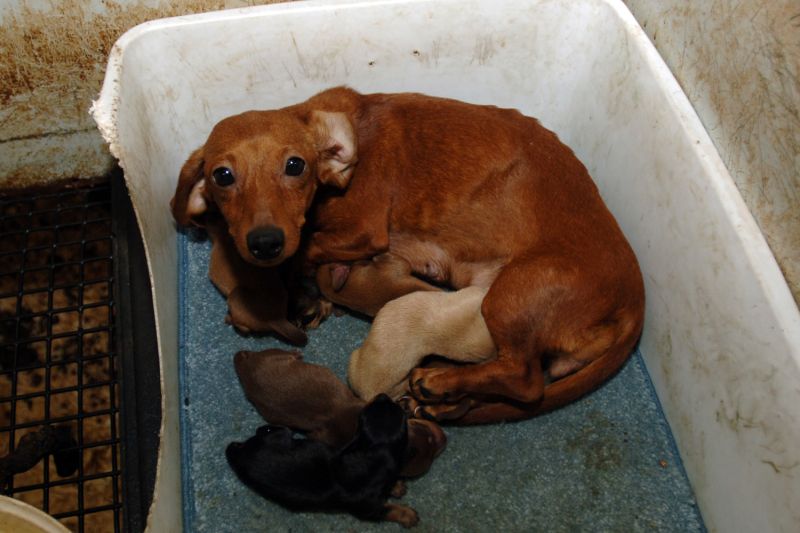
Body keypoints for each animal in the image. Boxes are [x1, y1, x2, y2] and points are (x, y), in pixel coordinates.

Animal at [225, 392, 418, 524]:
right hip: (278, 434)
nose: (382, 395)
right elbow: (388, 510)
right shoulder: (369, 510)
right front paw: (407, 515)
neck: (373, 458)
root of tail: (238, 453)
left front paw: (396, 486)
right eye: (363, 414)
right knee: (270, 429)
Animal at [233, 348, 444, 476]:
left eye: (426, 431)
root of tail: (245, 366)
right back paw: (296, 352)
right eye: (429, 456)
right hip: (276, 356)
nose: (445, 439)